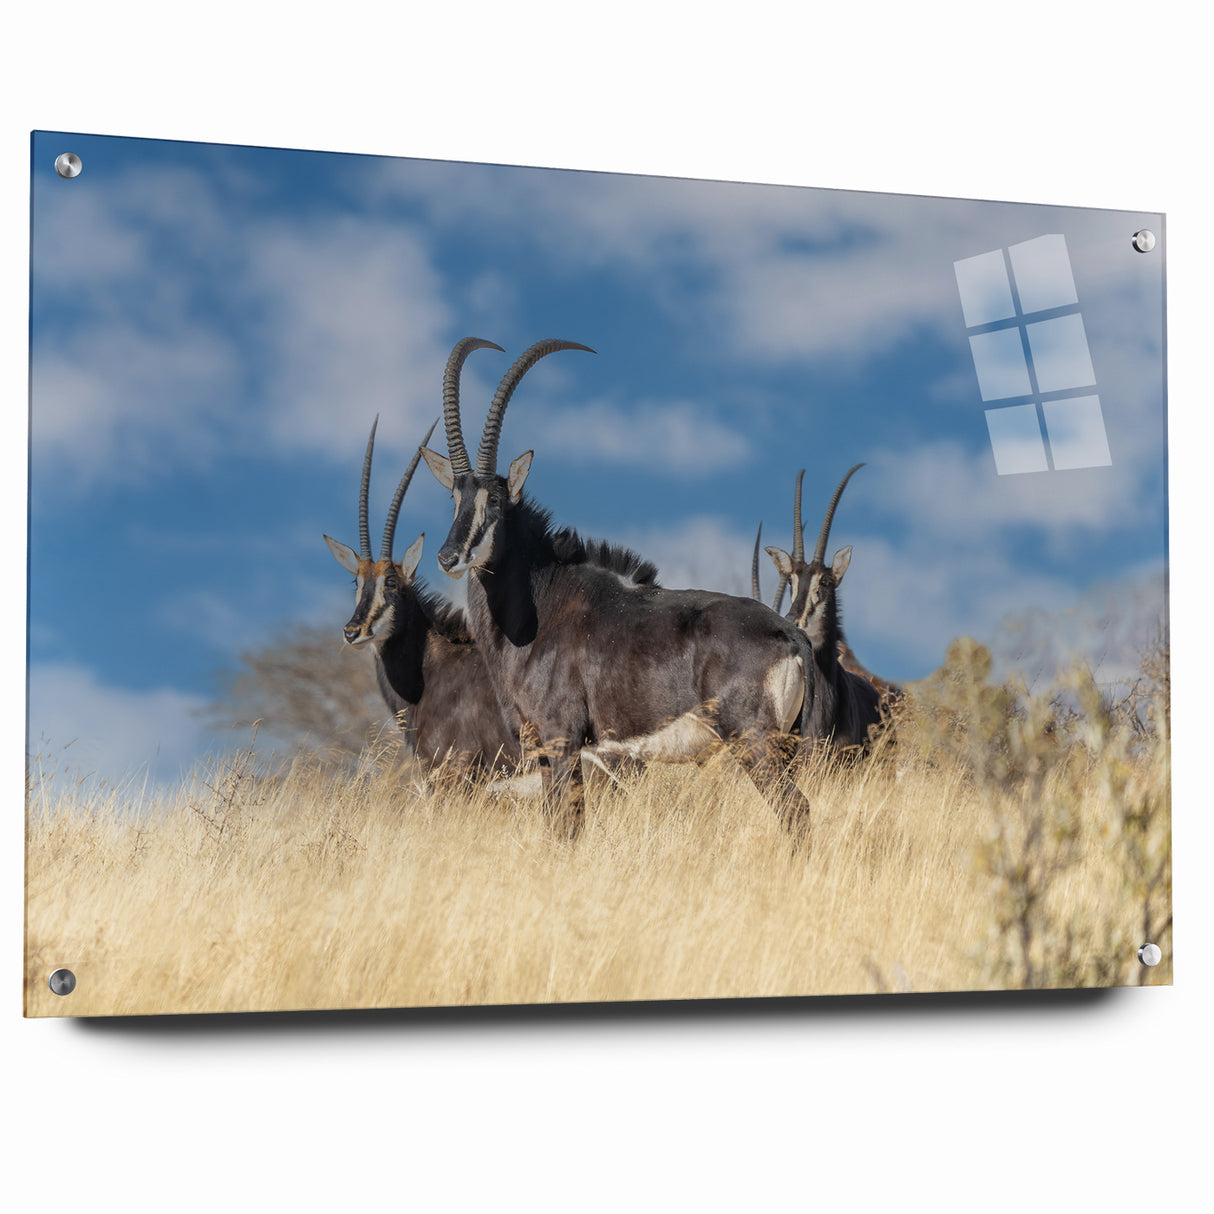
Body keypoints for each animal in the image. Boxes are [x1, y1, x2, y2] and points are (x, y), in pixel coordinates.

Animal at [421, 337, 818, 838]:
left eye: (494, 499)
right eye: (454, 497)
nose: (448, 557)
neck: (540, 606)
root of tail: (792, 634)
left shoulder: (563, 738)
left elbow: (567, 826)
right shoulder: (544, 750)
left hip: (755, 741)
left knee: (796, 810)